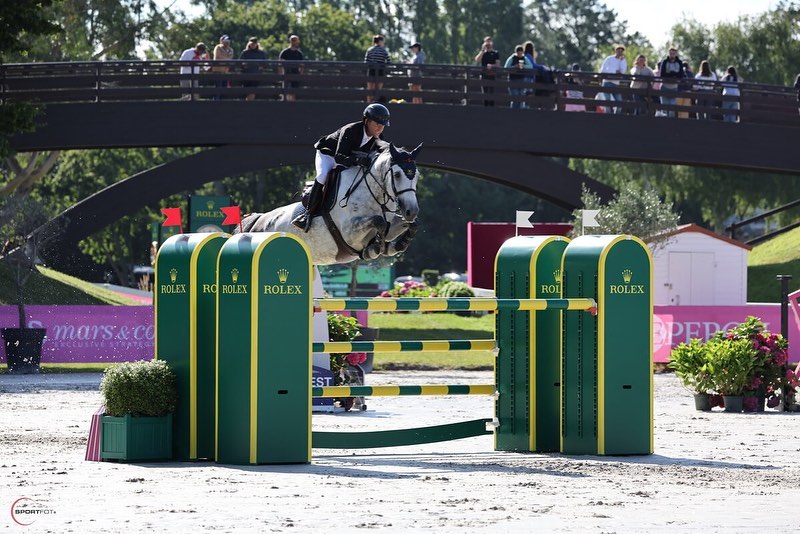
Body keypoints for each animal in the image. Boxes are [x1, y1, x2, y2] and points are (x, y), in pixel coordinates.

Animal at [238, 143, 422, 266]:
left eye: (417, 175)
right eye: (397, 175)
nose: (411, 211)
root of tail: (258, 220)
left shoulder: (392, 224)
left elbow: (409, 225)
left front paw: (398, 244)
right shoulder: (350, 232)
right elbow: (379, 221)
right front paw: (376, 247)